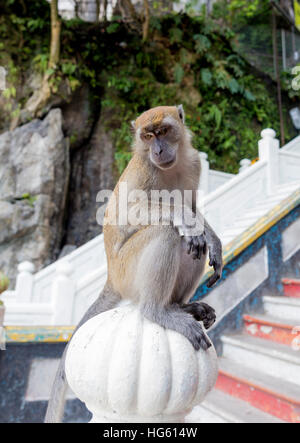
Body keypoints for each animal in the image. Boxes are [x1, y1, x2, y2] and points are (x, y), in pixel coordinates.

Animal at [45, 106, 223, 424]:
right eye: (147, 136)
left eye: (163, 131)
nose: (158, 149)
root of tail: (111, 277)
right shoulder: (144, 169)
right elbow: (129, 211)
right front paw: (183, 215)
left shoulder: (193, 164)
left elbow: (194, 210)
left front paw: (213, 239)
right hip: (127, 271)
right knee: (166, 232)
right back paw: (157, 311)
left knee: (192, 245)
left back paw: (181, 305)